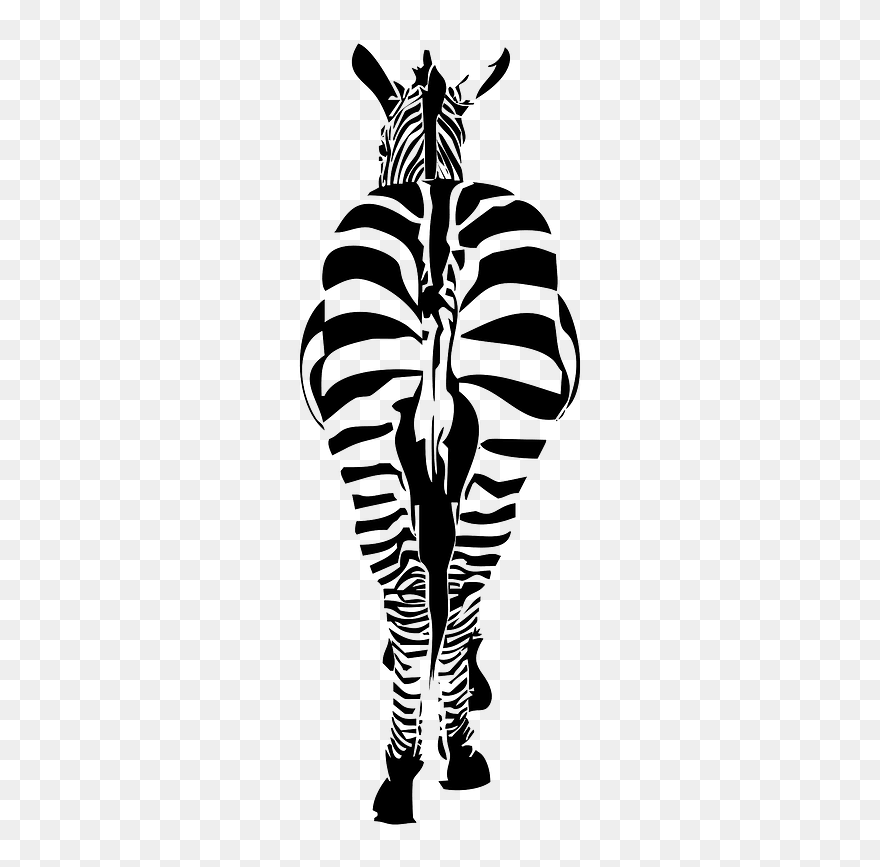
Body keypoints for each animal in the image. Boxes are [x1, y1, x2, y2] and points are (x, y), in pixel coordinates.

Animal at [300, 45, 580, 824]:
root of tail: (435, 222)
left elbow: (434, 565)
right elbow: (441, 567)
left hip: (377, 427)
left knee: (421, 576)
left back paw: (411, 764)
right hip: (493, 426)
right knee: (451, 570)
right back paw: (438, 754)